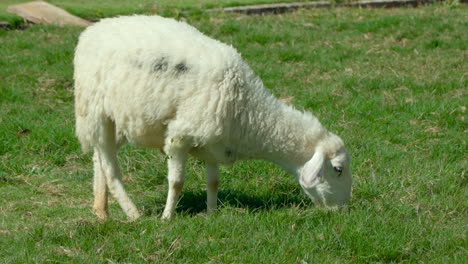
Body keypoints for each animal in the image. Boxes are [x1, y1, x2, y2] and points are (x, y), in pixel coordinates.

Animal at [74, 14, 352, 221]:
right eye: (338, 169)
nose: (343, 211)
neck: (248, 112)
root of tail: (93, 30)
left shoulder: (214, 143)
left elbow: (213, 182)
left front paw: (212, 214)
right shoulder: (180, 136)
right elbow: (177, 182)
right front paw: (167, 218)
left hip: (120, 120)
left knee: (99, 159)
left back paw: (101, 210)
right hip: (96, 111)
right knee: (110, 167)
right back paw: (133, 214)